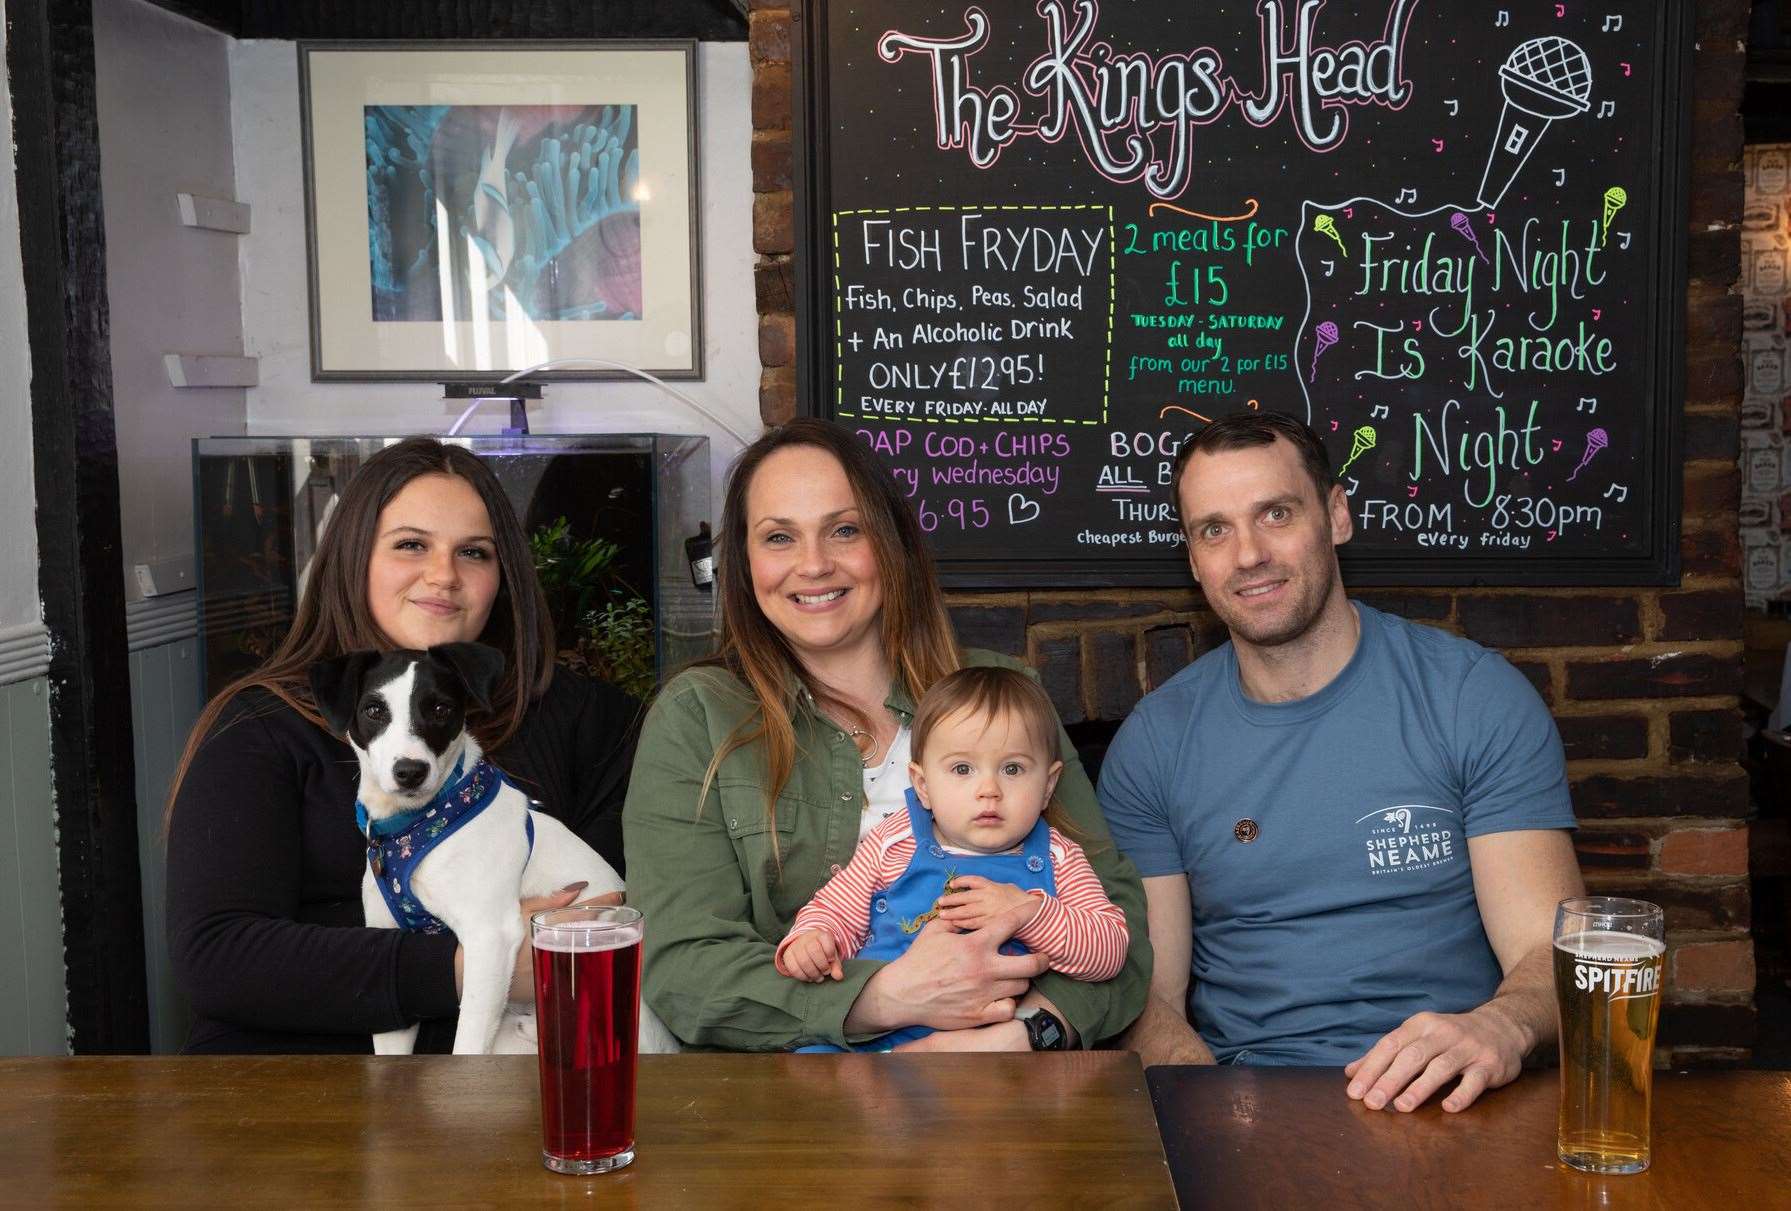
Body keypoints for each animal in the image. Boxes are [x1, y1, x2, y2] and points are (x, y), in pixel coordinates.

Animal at [311, 648, 673, 1053]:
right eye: (373, 710)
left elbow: (466, 1046)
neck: (419, 824)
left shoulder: (489, 939)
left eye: (441, 709)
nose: (410, 771)